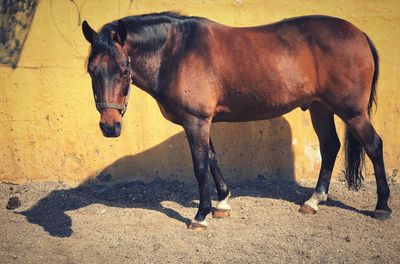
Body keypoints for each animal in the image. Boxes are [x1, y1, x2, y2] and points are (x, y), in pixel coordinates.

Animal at [81, 11, 390, 229]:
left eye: (124, 69)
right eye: (91, 70)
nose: (109, 126)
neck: (176, 52)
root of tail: (359, 33)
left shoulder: (196, 122)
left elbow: (200, 166)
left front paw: (201, 215)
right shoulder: (203, 122)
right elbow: (213, 159)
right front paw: (222, 203)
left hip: (352, 111)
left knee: (374, 145)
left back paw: (382, 206)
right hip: (320, 107)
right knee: (329, 147)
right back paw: (314, 201)